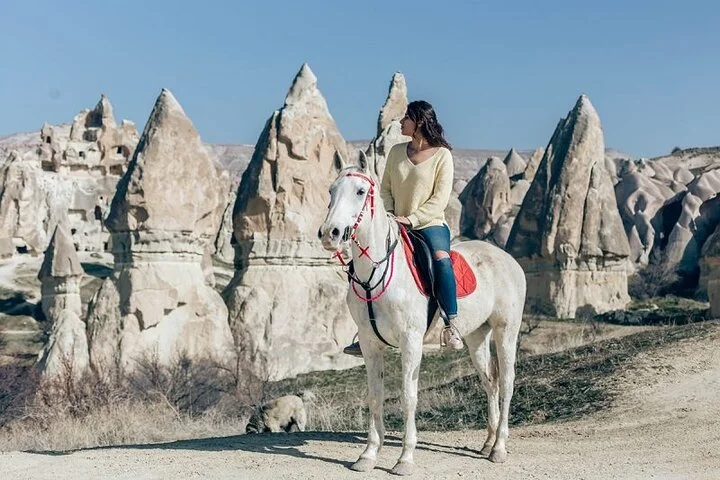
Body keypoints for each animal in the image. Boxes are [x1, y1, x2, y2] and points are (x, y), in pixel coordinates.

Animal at [318, 151, 526, 476]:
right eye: (331, 191)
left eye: (361, 192)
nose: (331, 234)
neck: (377, 273)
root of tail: (508, 259)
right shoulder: (369, 344)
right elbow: (375, 395)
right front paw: (368, 455)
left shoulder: (410, 341)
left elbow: (408, 396)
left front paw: (404, 459)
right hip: (477, 337)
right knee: (489, 382)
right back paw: (487, 443)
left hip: (506, 332)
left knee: (506, 381)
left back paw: (499, 448)